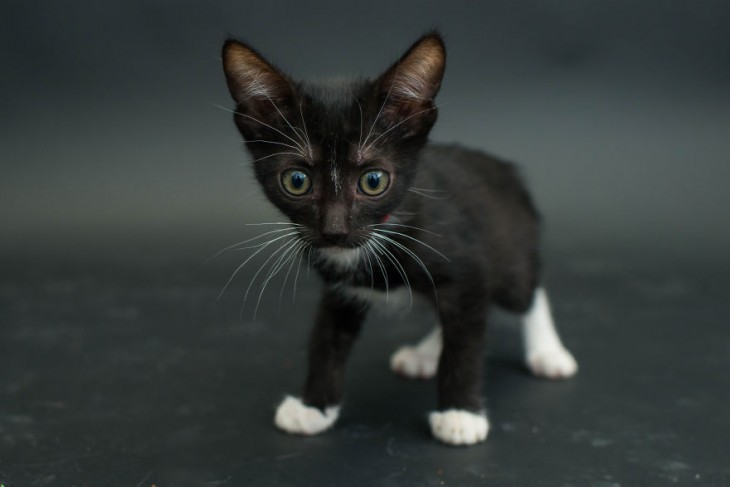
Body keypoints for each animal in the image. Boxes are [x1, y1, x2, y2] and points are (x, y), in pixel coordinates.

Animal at [219, 32, 576, 448]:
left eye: (373, 181)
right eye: (296, 180)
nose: (335, 231)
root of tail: (507, 169)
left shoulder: (469, 265)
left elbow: (466, 342)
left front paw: (460, 414)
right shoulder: (341, 290)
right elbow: (326, 341)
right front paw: (314, 407)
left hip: (510, 250)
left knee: (527, 291)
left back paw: (547, 352)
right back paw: (425, 354)